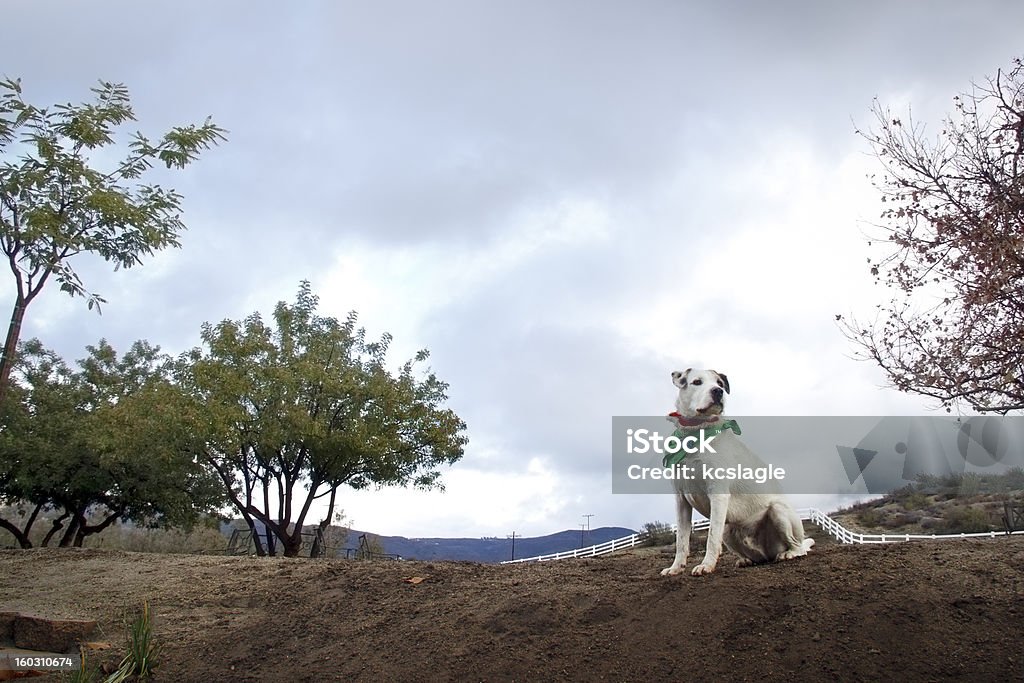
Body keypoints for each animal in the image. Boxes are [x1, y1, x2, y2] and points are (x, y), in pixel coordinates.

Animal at [663, 368, 815, 577]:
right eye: (696, 382)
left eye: (719, 383)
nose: (718, 391)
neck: (696, 434)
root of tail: (768, 553)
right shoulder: (681, 499)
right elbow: (681, 540)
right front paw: (676, 567)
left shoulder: (718, 494)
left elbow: (711, 537)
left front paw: (706, 565)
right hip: (729, 529)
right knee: (756, 556)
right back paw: (746, 560)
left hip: (778, 510)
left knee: (798, 545)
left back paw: (790, 553)